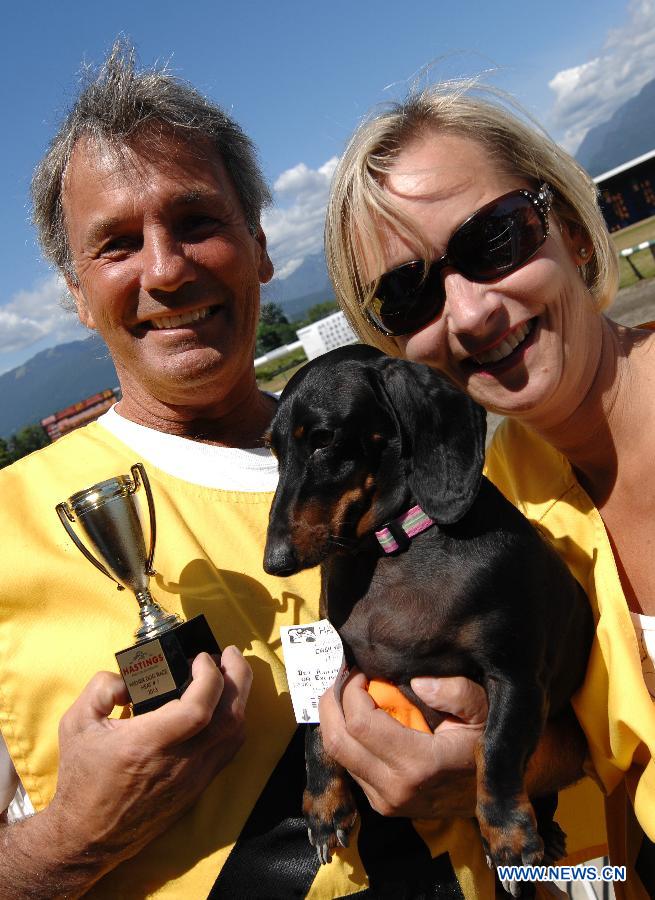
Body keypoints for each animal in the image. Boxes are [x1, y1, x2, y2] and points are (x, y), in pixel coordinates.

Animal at [262, 344, 596, 884]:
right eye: (273, 450)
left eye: (324, 440)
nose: (275, 562)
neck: (390, 547)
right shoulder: (336, 664)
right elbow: (315, 731)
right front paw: (323, 805)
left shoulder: (517, 676)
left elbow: (496, 747)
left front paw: (508, 833)